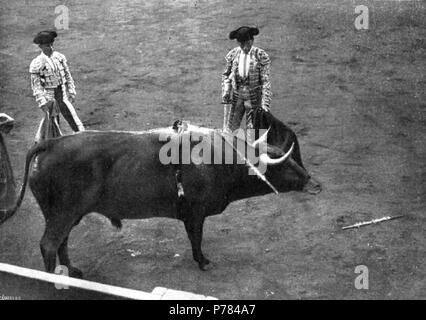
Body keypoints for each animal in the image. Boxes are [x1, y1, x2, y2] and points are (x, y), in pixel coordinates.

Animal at [0, 120, 318, 276]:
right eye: (284, 165)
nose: (312, 182)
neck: (221, 161)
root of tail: (50, 143)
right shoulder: (195, 213)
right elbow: (196, 238)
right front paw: (203, 261)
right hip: (63, 213)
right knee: (49, 243)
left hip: (65, 214)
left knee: (61, 241)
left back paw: (72, 270)